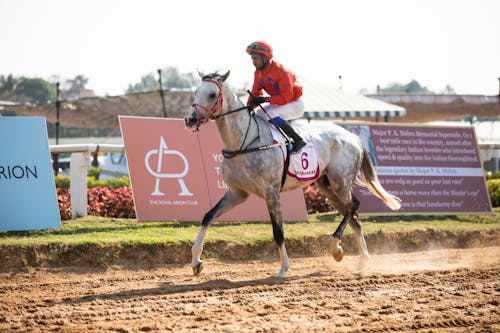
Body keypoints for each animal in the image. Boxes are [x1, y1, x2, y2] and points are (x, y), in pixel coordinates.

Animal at [185, 71, 402, 276]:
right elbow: (208, 216)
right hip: (327, 187)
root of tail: (353, 137)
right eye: (196, 91)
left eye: (212, 94)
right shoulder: (237, 193)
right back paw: (357, 257)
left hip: (340, 182)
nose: (190, 119)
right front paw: (196, 261)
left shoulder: (271, 192)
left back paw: (337, 246)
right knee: (353, 215)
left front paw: (284, 267)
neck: (243, 143)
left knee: (354, 206)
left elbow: (278, 231)